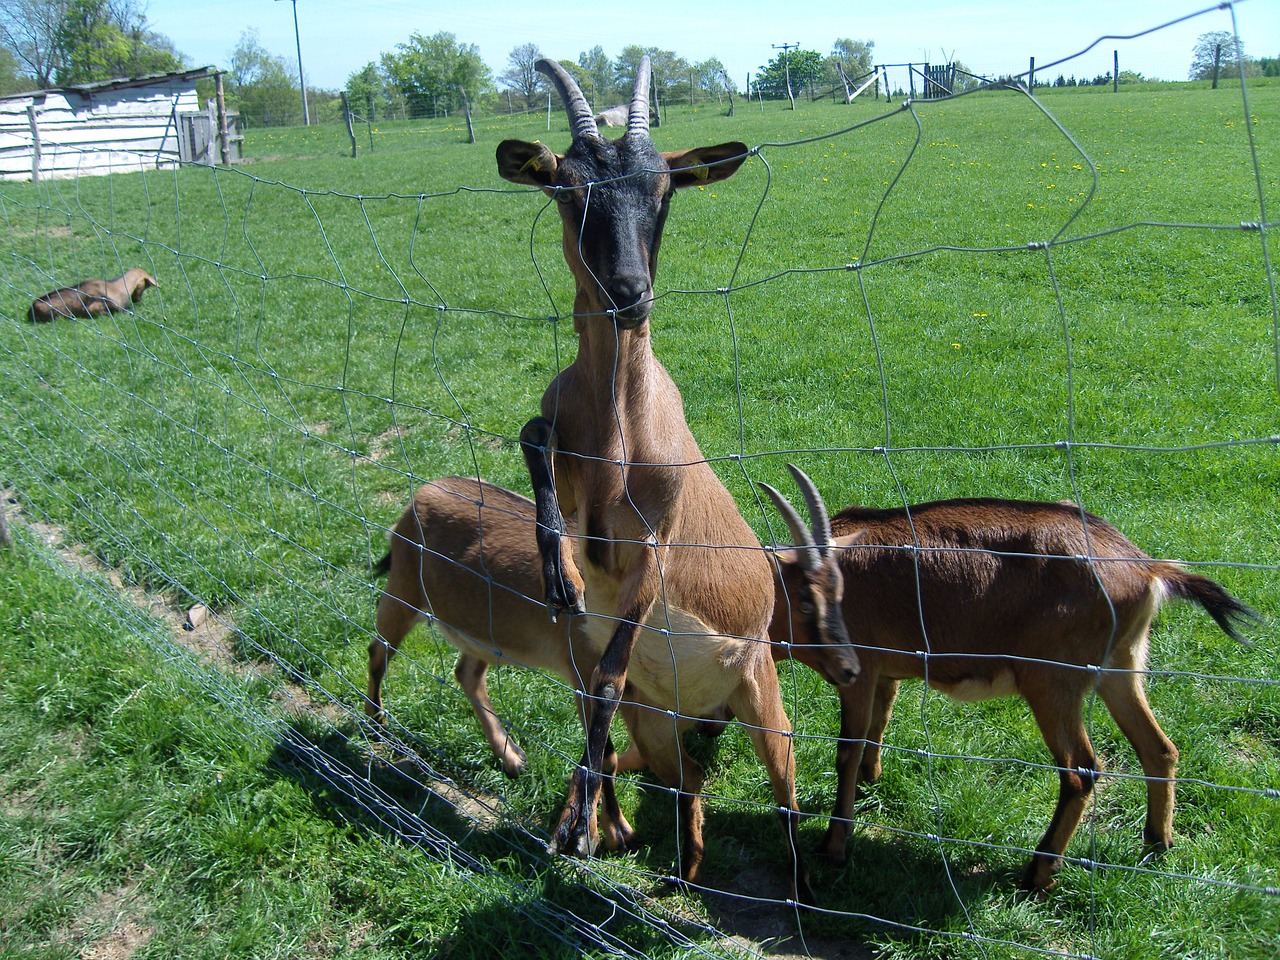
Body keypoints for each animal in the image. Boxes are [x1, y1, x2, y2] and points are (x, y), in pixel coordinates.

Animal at [366, 471, 855, 901]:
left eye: (839, 590)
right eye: (804, 599)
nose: (849, 668)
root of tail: (419, 498)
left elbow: (611, 756)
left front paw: (604, 829)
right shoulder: (587, 676)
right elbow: (605, 755)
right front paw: (613, 833)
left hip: (478, 632)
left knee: (466, 673)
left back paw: (512, 759)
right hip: (404, 589)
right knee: (377, 650)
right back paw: (376, 726)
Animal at [494, 60, 855, 911]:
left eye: (663, 188)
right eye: (569, 188)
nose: (629, 291)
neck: (620, 435)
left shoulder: (654, 549)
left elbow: (605, 677)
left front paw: (582, 830)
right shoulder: (566, 459)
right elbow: (531, 434)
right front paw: (558, 574)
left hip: (764, 703)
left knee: (783, 795)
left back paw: (791, 888)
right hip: (663, 731)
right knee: (687, 786)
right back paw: (667, 863)